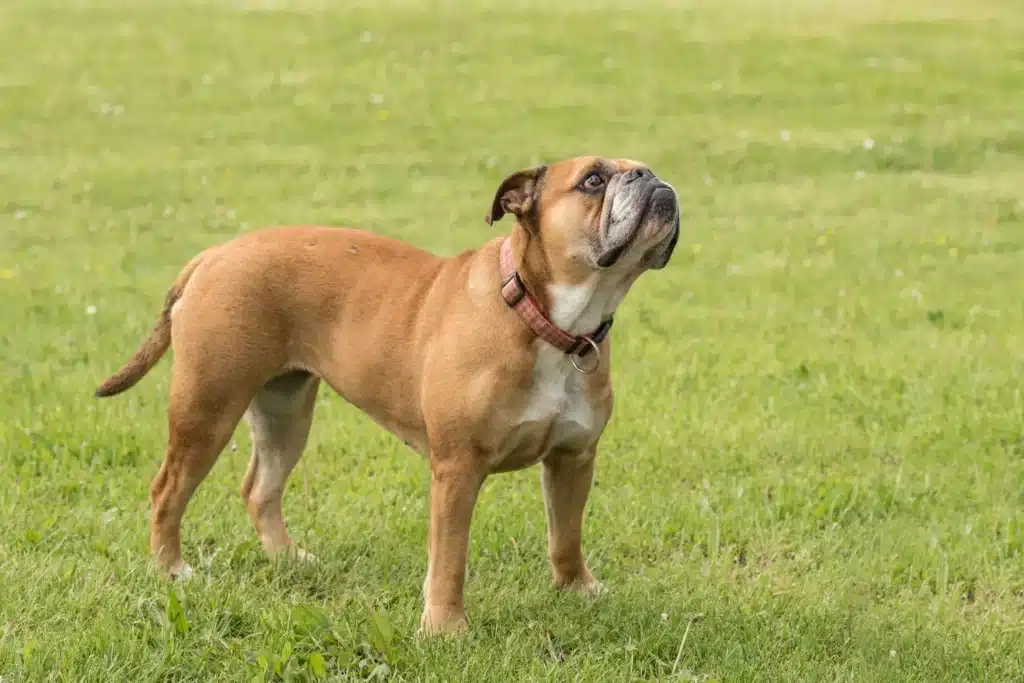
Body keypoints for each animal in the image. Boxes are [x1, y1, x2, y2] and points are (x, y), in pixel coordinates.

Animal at [92, 156, 675, 634]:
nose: (651, 177)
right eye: (593, 179)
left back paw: (287, 557)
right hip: (208, 407)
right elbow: (450, 561)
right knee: (168, 490)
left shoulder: (574, 457)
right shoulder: (458, 470)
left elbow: (566, 534)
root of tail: (214, 254)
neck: (546, 318)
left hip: (285, 411)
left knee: (260, 488)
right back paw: (171, 570)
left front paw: (578, 590)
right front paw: (445, 628)